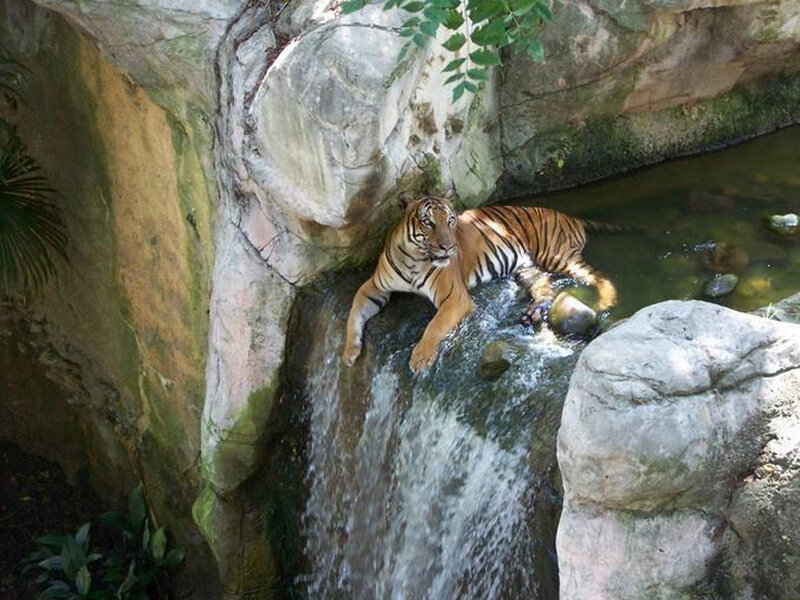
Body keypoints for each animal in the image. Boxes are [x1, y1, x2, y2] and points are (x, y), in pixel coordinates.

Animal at [342, 191, 619, 374]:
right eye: (428, 222)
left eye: (450, 221)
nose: (449, 247)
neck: (415, 257)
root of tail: (568, 215)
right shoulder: (373, 287)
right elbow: (353, 313)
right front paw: (348, 352)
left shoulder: (454, 298)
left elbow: (435, 326)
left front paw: (420, 357)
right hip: (528, 268)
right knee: (546, 289)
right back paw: (532, 314)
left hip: (557, 255)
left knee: (600, 276)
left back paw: (607, 301)